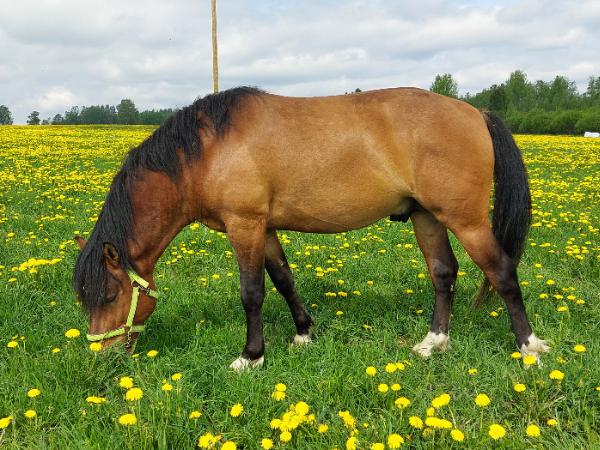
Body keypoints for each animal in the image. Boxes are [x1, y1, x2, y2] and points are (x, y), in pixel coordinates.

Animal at [73, 86, 549, 370]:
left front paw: (251, 356)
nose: (100, 356)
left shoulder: (244, 225)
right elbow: (283, 279)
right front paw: (303, 332)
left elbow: (252, 293)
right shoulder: (264, 229)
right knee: (443, 273)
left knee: (501, 273)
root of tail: (476, 113)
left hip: (466, 220)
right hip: (426, 216)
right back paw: (434, 343)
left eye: (110, 296)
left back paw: (530, 346)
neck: (207, 150)